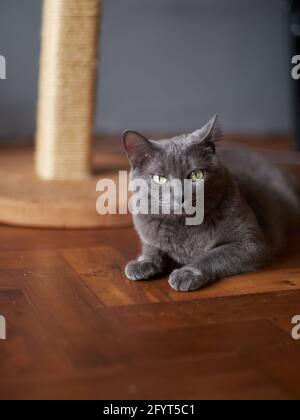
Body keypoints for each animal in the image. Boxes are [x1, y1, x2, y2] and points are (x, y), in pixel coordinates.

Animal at [122, 115, 300, 292]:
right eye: (159, 179)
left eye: (196, 175)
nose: (181, 196)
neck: (185, 225)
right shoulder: (148, 230)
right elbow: (152, 247)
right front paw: (142, 263)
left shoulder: (251, 243)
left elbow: (212, 255)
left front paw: (186, 274)